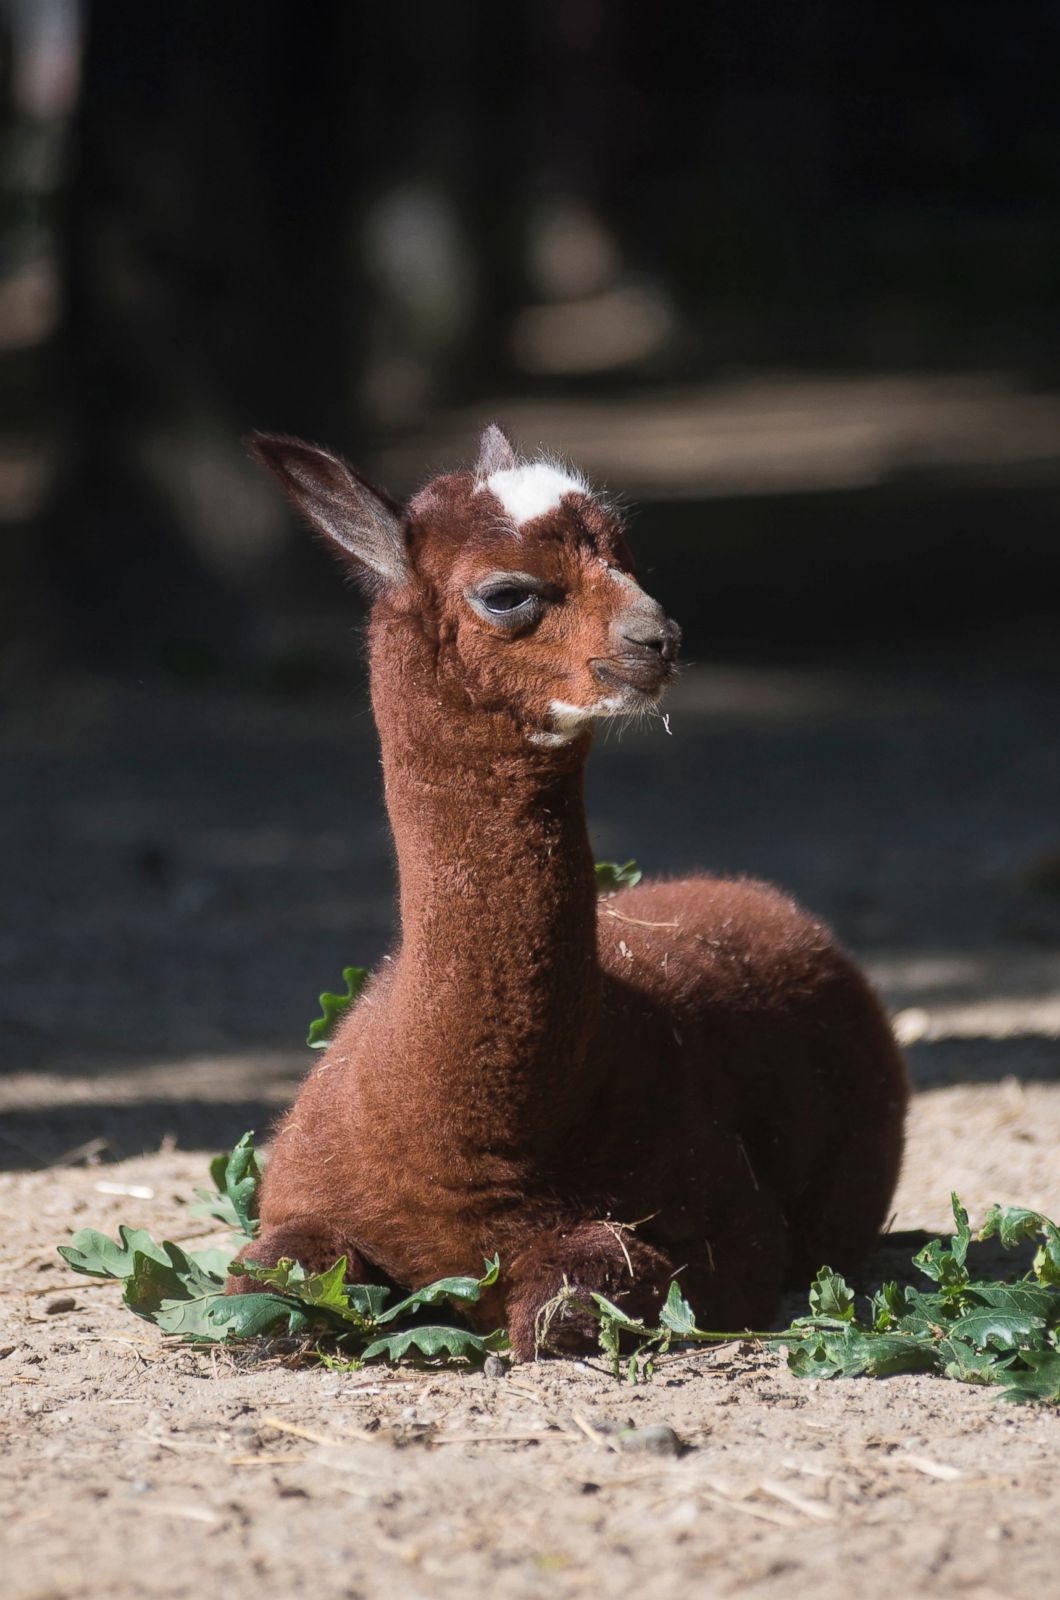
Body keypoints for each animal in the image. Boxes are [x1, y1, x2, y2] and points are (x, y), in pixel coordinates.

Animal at [232, 419, 915, 1356]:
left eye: (629, 557)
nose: (658, 637)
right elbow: (268, 1282)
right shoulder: (300, 1193)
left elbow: (576, 1295)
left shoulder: (722, 1233)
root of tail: (759, 897)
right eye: (507, 593)